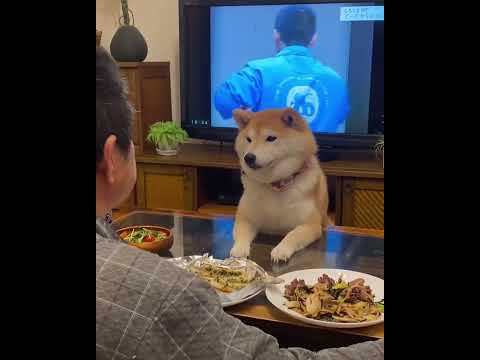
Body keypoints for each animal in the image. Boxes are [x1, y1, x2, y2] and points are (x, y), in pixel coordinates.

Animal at [230, 107, 328, 262]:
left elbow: (293, 235)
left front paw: (281, 249)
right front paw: (239, 249)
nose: (249, 157)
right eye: (249, 139)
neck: (275, 183)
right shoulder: (246, 218)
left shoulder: (311, 225)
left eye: (271, 138)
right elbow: (241, 233)